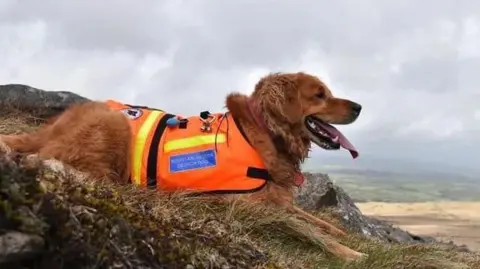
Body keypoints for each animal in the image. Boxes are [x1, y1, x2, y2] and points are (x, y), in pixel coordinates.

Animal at [0, 71, 364, 260]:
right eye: (319, 94)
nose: (359, 106)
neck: (264, 132)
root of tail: (48, 128)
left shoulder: (274, 198)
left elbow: (312, 219)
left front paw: (343, 232)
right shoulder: (246, 206)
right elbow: (305, 229)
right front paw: (350, 253)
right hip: (113, 126)